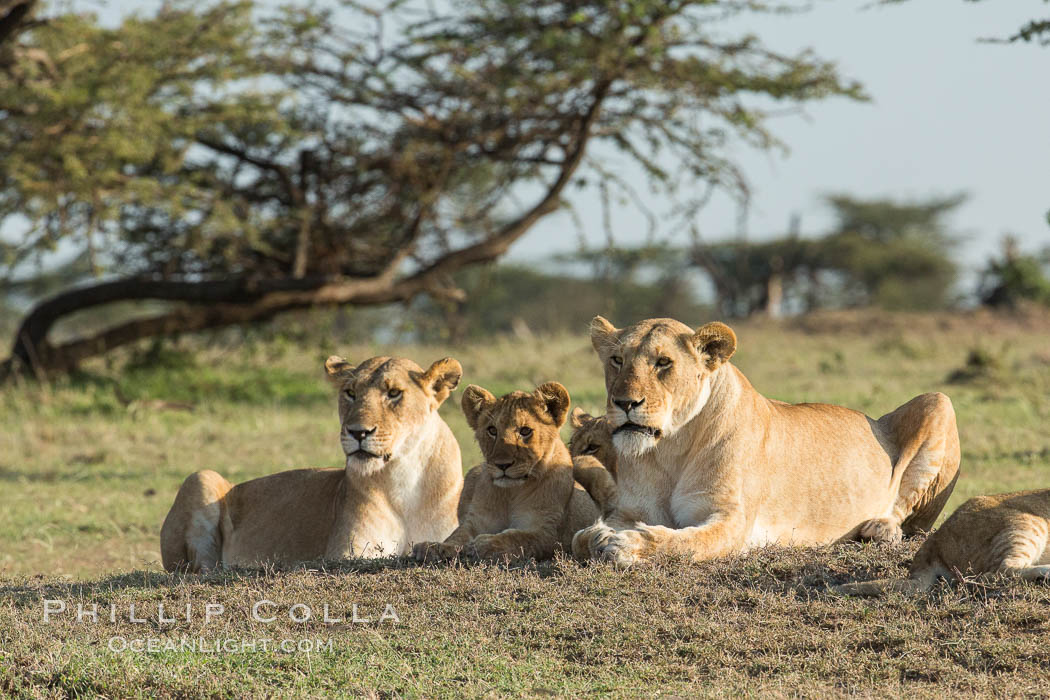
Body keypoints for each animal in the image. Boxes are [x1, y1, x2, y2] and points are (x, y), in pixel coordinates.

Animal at [159, 356, 464, 570]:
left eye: (394, 393)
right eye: (350, 393)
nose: (358, 432)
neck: (402, 477)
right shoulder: (347, 554)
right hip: (201, 477)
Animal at [411, 379, 600, 562]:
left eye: (525, 431)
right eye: (492, 430)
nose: (502, 465)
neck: (511, 493)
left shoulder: (548, 532)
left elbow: (517, 538)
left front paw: (484, 544)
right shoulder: (477, 520)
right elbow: (458, 535)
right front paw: (435, 547)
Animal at [575, 316, 961, 570]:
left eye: (663, 363)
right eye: (617, 360)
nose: (624, 402)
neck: (670, 447)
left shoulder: (732, 521)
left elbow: (683, 542)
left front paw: (627, 544)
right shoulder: (628, 510)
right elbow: (581, 536)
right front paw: (599, 536)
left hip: (938, 401)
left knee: (906, 511)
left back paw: (880, 528)